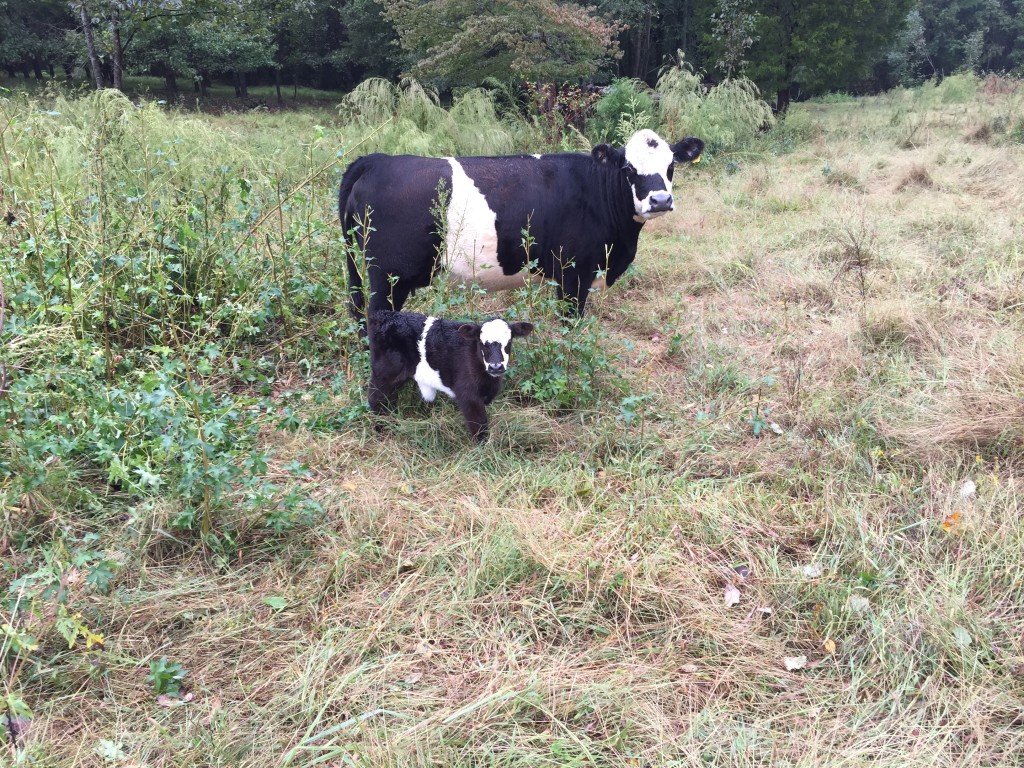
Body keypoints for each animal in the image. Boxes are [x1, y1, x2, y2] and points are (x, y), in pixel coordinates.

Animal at [337, 131, 704, 317]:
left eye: (671, 166)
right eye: (628, 168)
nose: (660, 200)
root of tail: (377, 160)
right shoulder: (574, 274)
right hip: (387, 276)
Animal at [366, 311, 536, 444]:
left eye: (508, 342)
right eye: (482, 343)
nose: (495, 366)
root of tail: (384, 316)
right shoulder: (468, 395)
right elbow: (478, 423)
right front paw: (483, 450)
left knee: (388, 400)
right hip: (385, 372)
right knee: (376, 398)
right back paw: (382, 429)